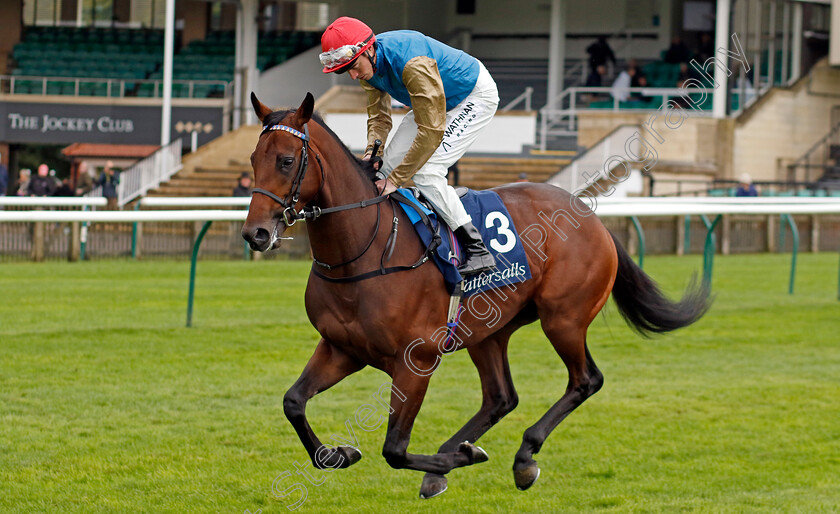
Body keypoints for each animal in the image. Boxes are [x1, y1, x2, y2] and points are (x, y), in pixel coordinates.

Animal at [243, 92, 708, 496]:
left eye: (286, 160)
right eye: (252, 159)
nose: (256, 234)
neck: (366, 249)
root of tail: (589, 216)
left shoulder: (417, 362)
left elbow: (394, 449)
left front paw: (459, 460)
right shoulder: (342, 348)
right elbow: (293, 402)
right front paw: (337, 454)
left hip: (564, 318)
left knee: (585, 380)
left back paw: (522, 457)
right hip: (489, 330)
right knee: (501, 397)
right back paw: (457, 455)